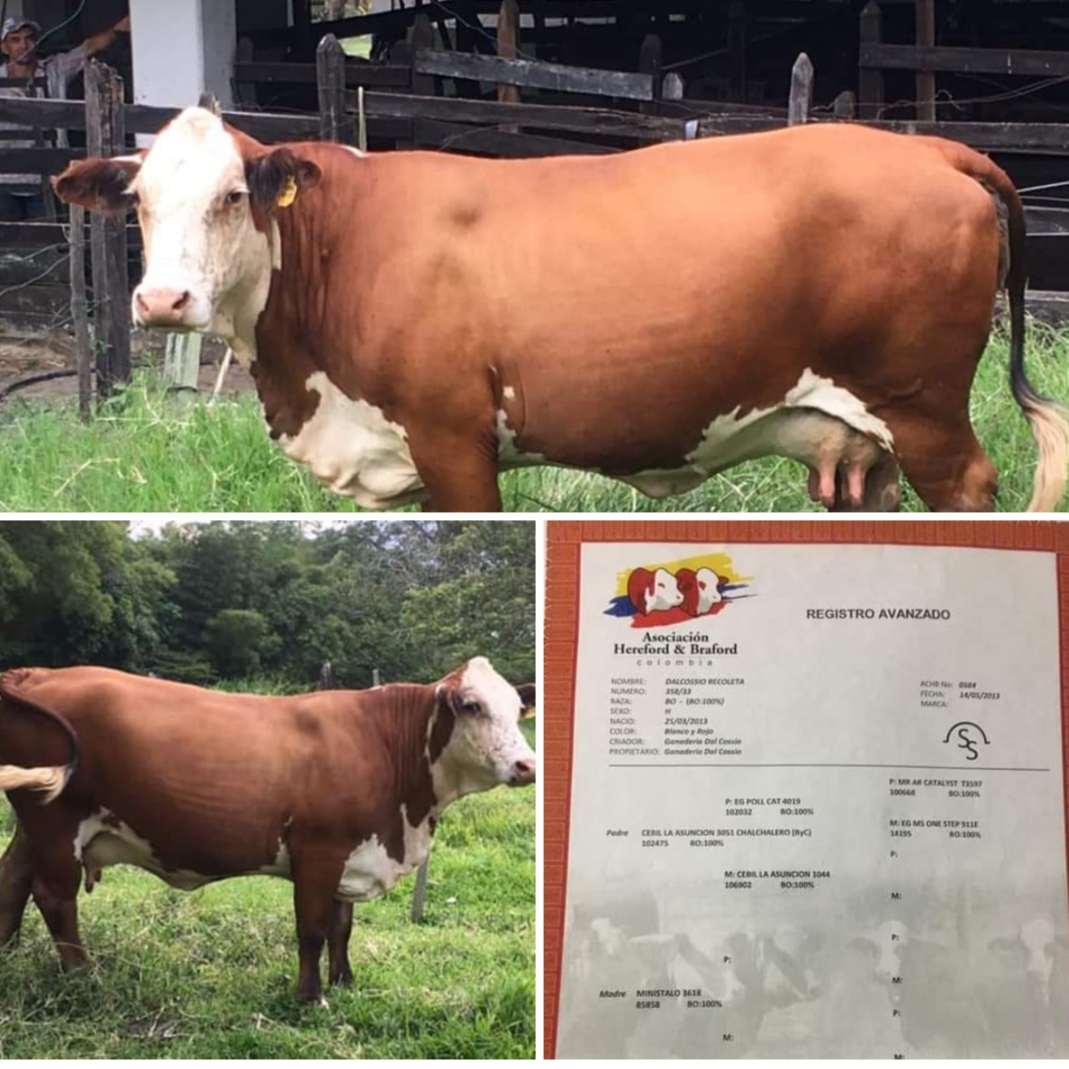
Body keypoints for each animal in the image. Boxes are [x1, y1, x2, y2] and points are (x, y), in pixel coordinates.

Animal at [0, 658, 536, 1005]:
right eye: (471, 705)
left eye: (516, 708)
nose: (527, 765)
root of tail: (40, 674)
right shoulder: (318, 850)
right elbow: (313, 930)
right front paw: (310, 998)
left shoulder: (351, 851)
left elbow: (342, 927)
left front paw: (345, 983)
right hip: (57, 823)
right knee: (54, 897)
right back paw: (81, 975)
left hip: (34, 823)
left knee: (13, 881)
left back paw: (7, 957)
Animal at [52, 108, 1068, 512]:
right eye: (140, 202)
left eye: (232, 195)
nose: (163, 299)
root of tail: (926, 147)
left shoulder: (453, 441)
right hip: (867, 438)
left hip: (924, 409)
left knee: (971, 485)